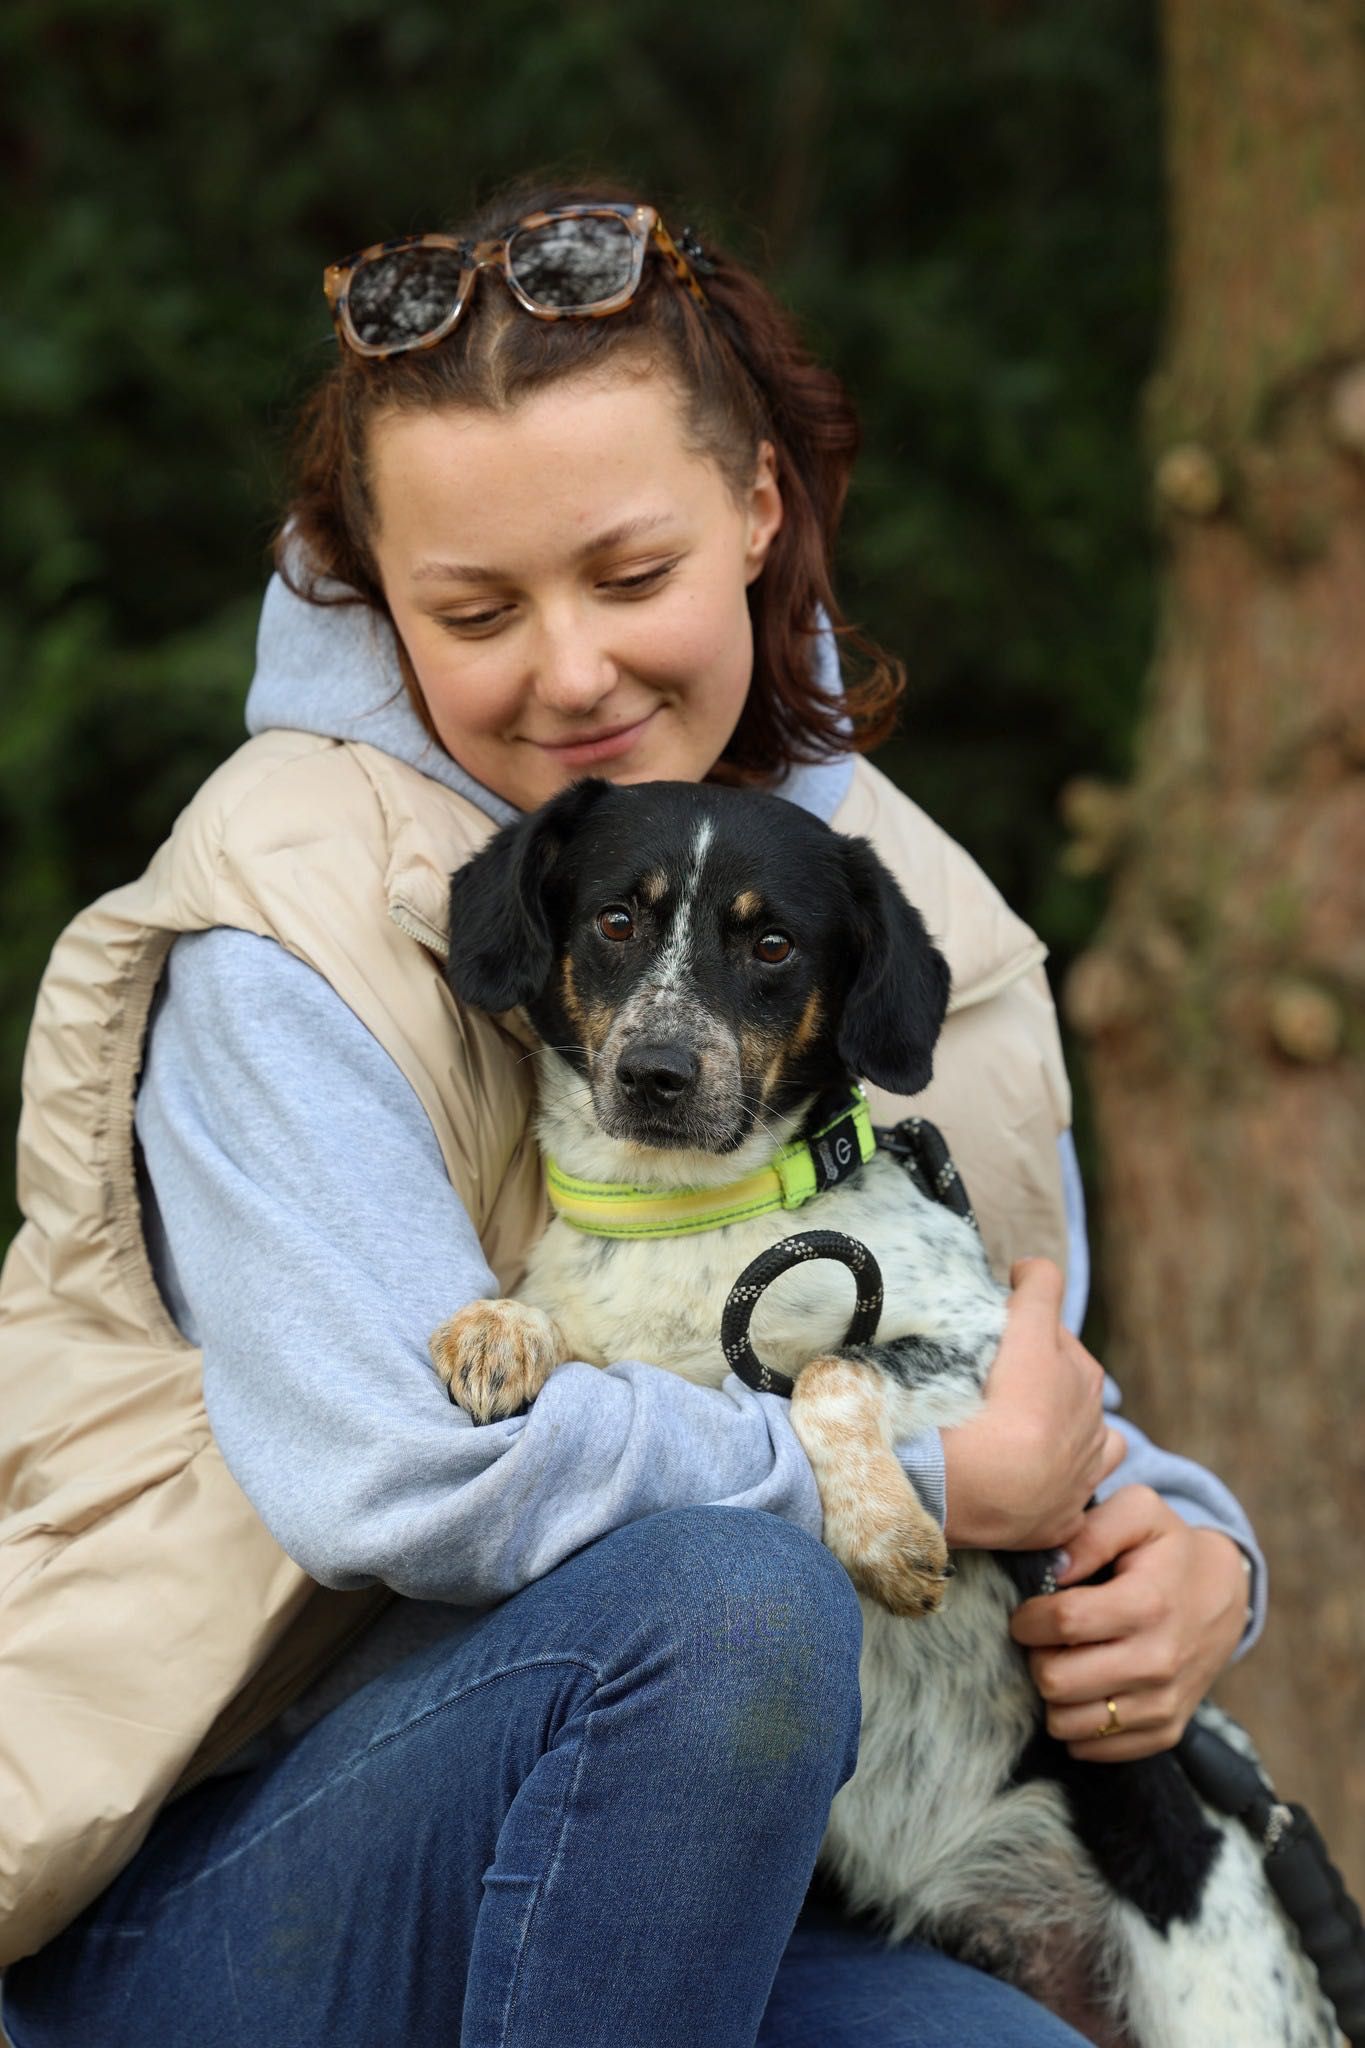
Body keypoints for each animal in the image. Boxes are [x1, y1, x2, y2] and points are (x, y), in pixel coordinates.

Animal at [431, 774, 1342, 2039]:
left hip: (1224, 2003)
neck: (692, 1218)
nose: (657, 1072)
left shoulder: (993, 1355)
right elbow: (569, 1326)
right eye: (616, 918)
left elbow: (827, 1368)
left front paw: (884, 1534)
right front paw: (502, 1327)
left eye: (772, 943)